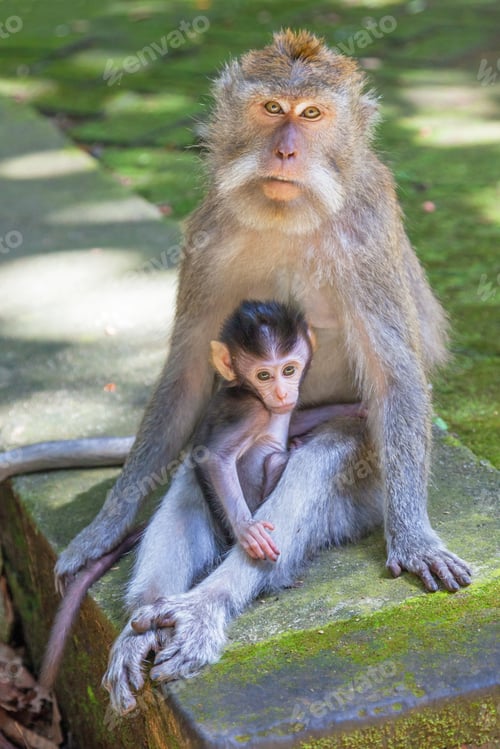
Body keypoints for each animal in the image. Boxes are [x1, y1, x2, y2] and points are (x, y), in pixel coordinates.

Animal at [195, 299, 366, 561]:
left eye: (288, 370)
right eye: (264, 375)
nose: (282, 394)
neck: (248, 391)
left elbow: (294, 421)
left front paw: (357, 407)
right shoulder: (252, 411)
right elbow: (214, 457)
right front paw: (247, 529)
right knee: (276, 460)